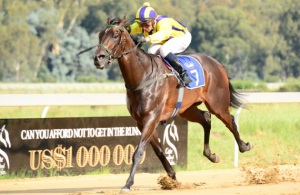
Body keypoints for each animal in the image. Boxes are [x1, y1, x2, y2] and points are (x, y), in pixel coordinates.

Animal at [92, 17, 252, 193]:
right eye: (100, 35)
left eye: (115, 35)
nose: (98, 58)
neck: (143, 75)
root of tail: (217, 63)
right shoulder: (141, 122)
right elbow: (160, 151)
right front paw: (172, 178)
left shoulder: (151, 118)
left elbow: (138, 152)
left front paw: (127, 184)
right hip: (187, 109)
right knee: (206, 118)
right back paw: (211, 155)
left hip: (217, 104)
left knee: (230, 121)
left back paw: (244, 146)